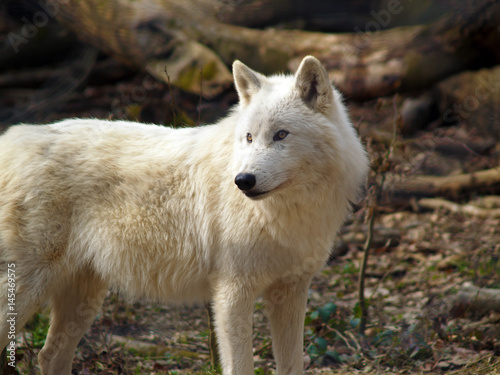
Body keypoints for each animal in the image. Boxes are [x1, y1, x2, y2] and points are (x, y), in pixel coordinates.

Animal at [0, 56, 368, 375]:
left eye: (281, 135)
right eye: (249, 137)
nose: (243, 181)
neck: (282, 214)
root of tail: (11, 139)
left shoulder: (290, 291)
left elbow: (292, 365)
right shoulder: (232, 293)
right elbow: (240, 366)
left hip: (84, 299)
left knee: (49, 355)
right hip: (28, 289)